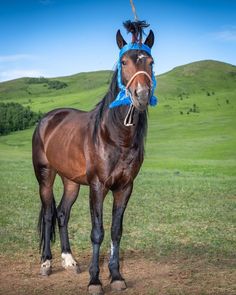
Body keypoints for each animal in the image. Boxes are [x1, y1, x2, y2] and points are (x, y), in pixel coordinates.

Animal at [32, 24, 155, 294]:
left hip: (71, 182)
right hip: (45, 176)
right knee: (48, 214)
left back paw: (69, 260)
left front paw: (116, 276)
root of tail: (47, 119)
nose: (141, 95)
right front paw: (95, 280)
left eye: (151, 62)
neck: (114, 135)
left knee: (62, 214)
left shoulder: (124, 187)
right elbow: (97, 232)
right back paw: (46, 263)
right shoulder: (98, 186)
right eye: (123, 62)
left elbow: (116, 231)